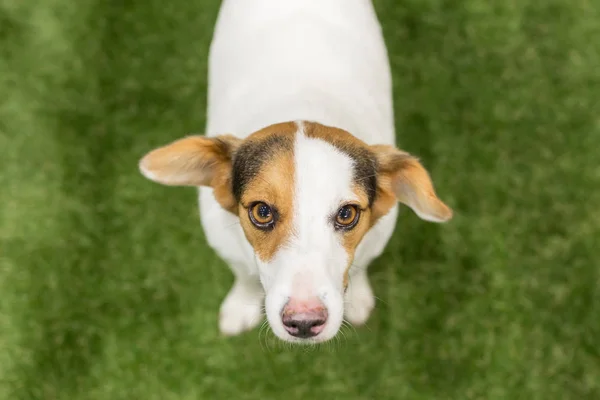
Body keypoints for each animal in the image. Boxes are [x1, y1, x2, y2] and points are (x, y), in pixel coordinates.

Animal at [139, 0, 450, 344]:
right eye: (261, 211)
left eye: (347, 214)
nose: (303, 322)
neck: (303, 103)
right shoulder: (228, 247)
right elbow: (244, 276)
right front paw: (241, 305)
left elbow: (359, 267)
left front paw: (357, 298)